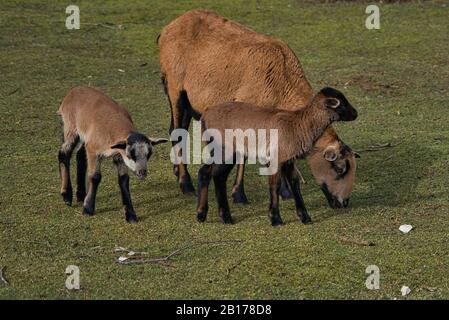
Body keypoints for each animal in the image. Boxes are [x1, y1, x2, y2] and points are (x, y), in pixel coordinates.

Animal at [56, 86, 166, 224]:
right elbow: (95, 177)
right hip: (71, 127)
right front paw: (88, 209)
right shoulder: (94, 151)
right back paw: (67, 195)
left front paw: (131, 215)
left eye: (149, 154)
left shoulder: (119, 155)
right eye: (131, 154)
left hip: (83, 136)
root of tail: (74, 90)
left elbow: (124, 180)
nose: (142, 172)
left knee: (80, 155)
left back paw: (80, 195)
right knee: (64, 153)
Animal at [159, 8, 358, 209]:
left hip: (188, 100)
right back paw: (185, 184)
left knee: (178, 130)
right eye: (340, 168)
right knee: (177, 132)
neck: (283, 79)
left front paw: (284, 191)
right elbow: (243, 155)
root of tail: (169, 27)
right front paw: (239, 194)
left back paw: (177, 171)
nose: (344, 203)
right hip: (176, 88)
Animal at [196, 87, 356, 226]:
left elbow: (295, 184)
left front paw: (305, 217)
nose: (356, 113)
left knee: (209, 174)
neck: (298, 125)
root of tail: (205, 116)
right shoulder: (275, 158)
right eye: (341, 104)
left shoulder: (289, 160)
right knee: (215, 175)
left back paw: (208, 215)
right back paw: (219, 216)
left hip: (222, 151)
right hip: (225, 150)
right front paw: (275, 219)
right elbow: (275, 185)